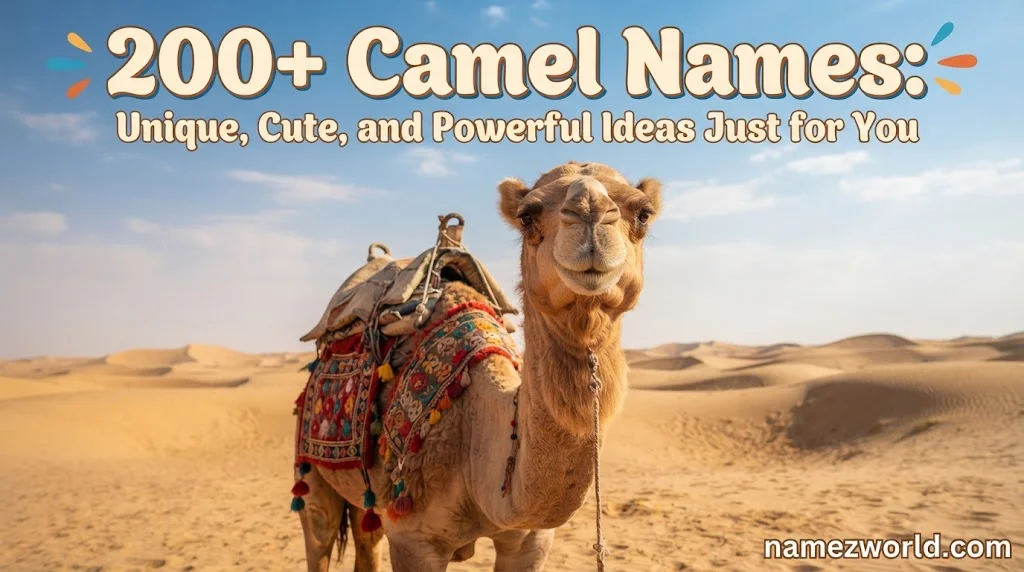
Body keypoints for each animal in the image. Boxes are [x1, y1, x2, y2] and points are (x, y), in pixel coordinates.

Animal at [296, 161, 662, 571]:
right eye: (527, 216)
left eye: (644, 214)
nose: (589, 212)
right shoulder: (412, 538)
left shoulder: (531, 540)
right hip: (312, 474)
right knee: (320, 531)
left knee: (365, 536)